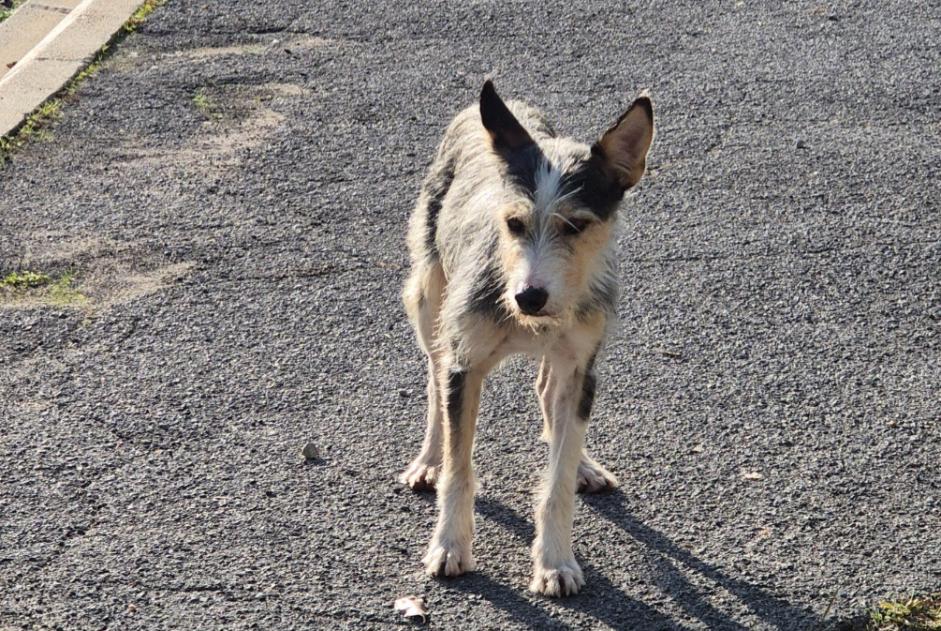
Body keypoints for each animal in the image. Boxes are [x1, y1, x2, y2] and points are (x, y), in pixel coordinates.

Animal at [396, 80, 652, 596]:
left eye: (576, 225)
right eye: (514, 223)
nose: (529, 296)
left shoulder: (582, 368)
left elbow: (557, 481)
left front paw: (554, 561)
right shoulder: (465, 364)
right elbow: (459, 468)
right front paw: (449, 545)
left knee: (548, 392)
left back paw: (584, 463)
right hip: (429, 301)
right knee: (433, 380)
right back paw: (428, 458)